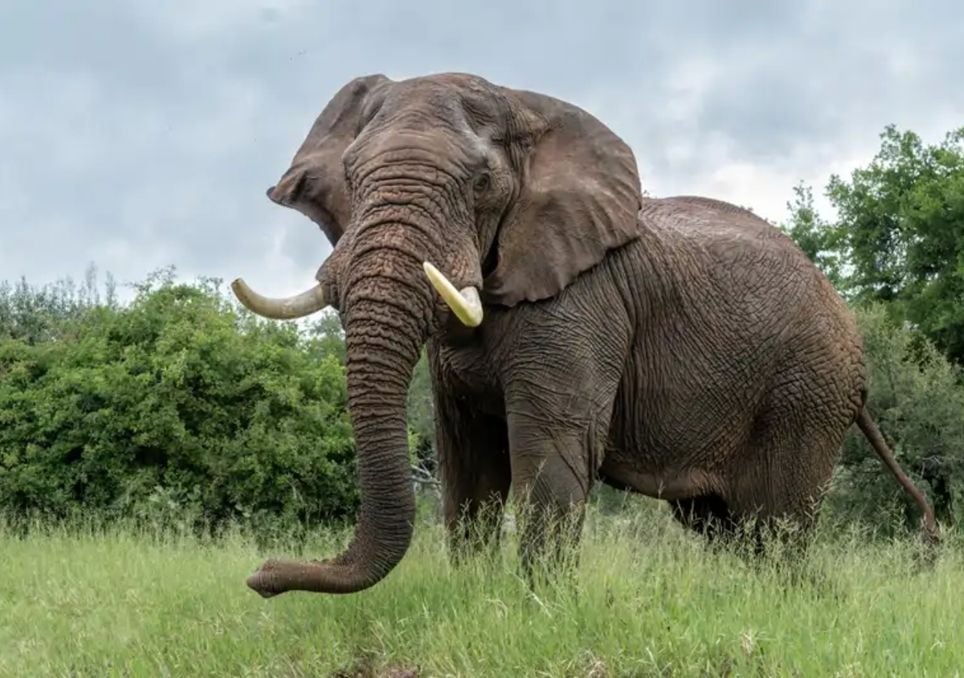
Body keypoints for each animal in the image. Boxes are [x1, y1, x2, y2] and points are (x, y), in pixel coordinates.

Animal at [231, 72, 937, 597]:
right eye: (351, 179)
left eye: (482, 184)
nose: (262, 576)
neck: (529, 111)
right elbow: (468, 464)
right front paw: (477, 597)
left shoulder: (581, 303)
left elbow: (551, 454)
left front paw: (536, 609)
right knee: (727, 527)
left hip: (805, 391)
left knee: (777, 525)